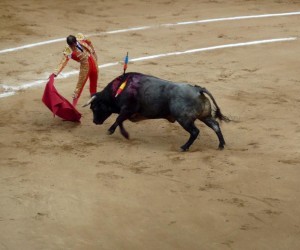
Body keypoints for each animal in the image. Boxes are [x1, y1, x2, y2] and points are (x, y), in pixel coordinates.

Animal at [82, 71, 230, 151]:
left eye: (94, 107)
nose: (95, 121)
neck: (119, 89)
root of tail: (197, 89)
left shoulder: (128, 109)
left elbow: (118, 119)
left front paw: (112, 131)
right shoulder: (127, 111)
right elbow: (121, 121)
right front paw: (124, 134)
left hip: (184, 119)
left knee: (195, 131)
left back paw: (184, 147)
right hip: (204, 116)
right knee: (215, 126)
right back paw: (221, 145)